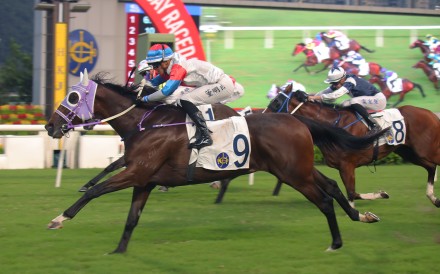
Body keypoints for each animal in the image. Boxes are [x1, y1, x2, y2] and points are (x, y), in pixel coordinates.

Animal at [43, 70, 384, 253]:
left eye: (73, 97)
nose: (50, 126)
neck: (145, 123)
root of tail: (297, 120)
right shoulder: (144, 180)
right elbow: (131, 218)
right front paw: (118, 250)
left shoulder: (135, 172)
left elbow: (94, 191)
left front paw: (59, 219)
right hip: (299, 168)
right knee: (332, 186)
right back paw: (362, 216)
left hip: (293, 173)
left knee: (324, 200)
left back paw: (336, 242)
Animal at [258, 88, 440, 208]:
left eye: (276, 102)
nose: (261, 118)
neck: (334, 125)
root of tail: (432, 114)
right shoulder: (342, 166)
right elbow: (353, 193)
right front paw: (382, 194)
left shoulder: (347, 164)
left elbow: (351, 193)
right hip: (410, 152)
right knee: (430, 167)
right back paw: (433, 198)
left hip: (426, 150)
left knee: (433, 164)